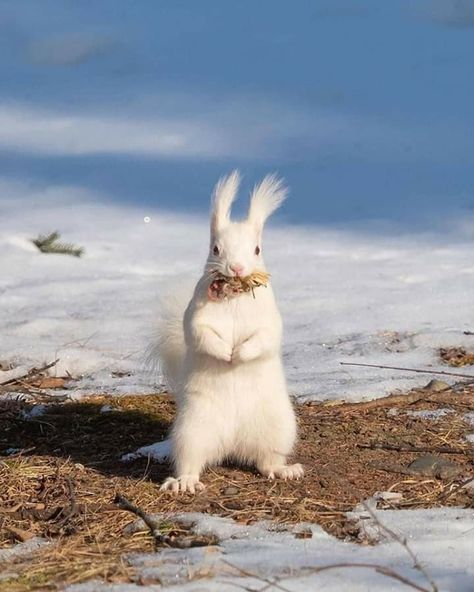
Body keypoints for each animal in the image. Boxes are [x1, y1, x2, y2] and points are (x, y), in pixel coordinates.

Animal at [157, 169, 302, 492]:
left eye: (257, 249)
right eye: (215, 248)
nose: (236, 268)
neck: (235, 295)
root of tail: (232, 442)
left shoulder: (269, 319)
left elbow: (265, 338)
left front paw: (240, 354)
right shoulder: (197, 316)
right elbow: (200, 334)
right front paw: (225, 353)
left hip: (277, 427)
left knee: (266, 459)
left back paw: (284, 470)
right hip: (192, 430)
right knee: (191, 460)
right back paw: (186, 482)